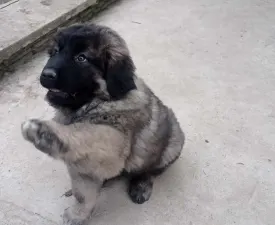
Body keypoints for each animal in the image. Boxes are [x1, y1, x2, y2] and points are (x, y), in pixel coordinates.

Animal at [21, 23, 185, 225]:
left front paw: (46, 134)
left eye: (81, 58)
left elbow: (87, 134)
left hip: (173, 140)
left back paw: (141, 185)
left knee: (151, 170)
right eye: (55, 52)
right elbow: (82, 193)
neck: (96, 102)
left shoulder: (113, 144)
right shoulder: (84, 170)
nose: (46, 74)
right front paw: (78, 214)